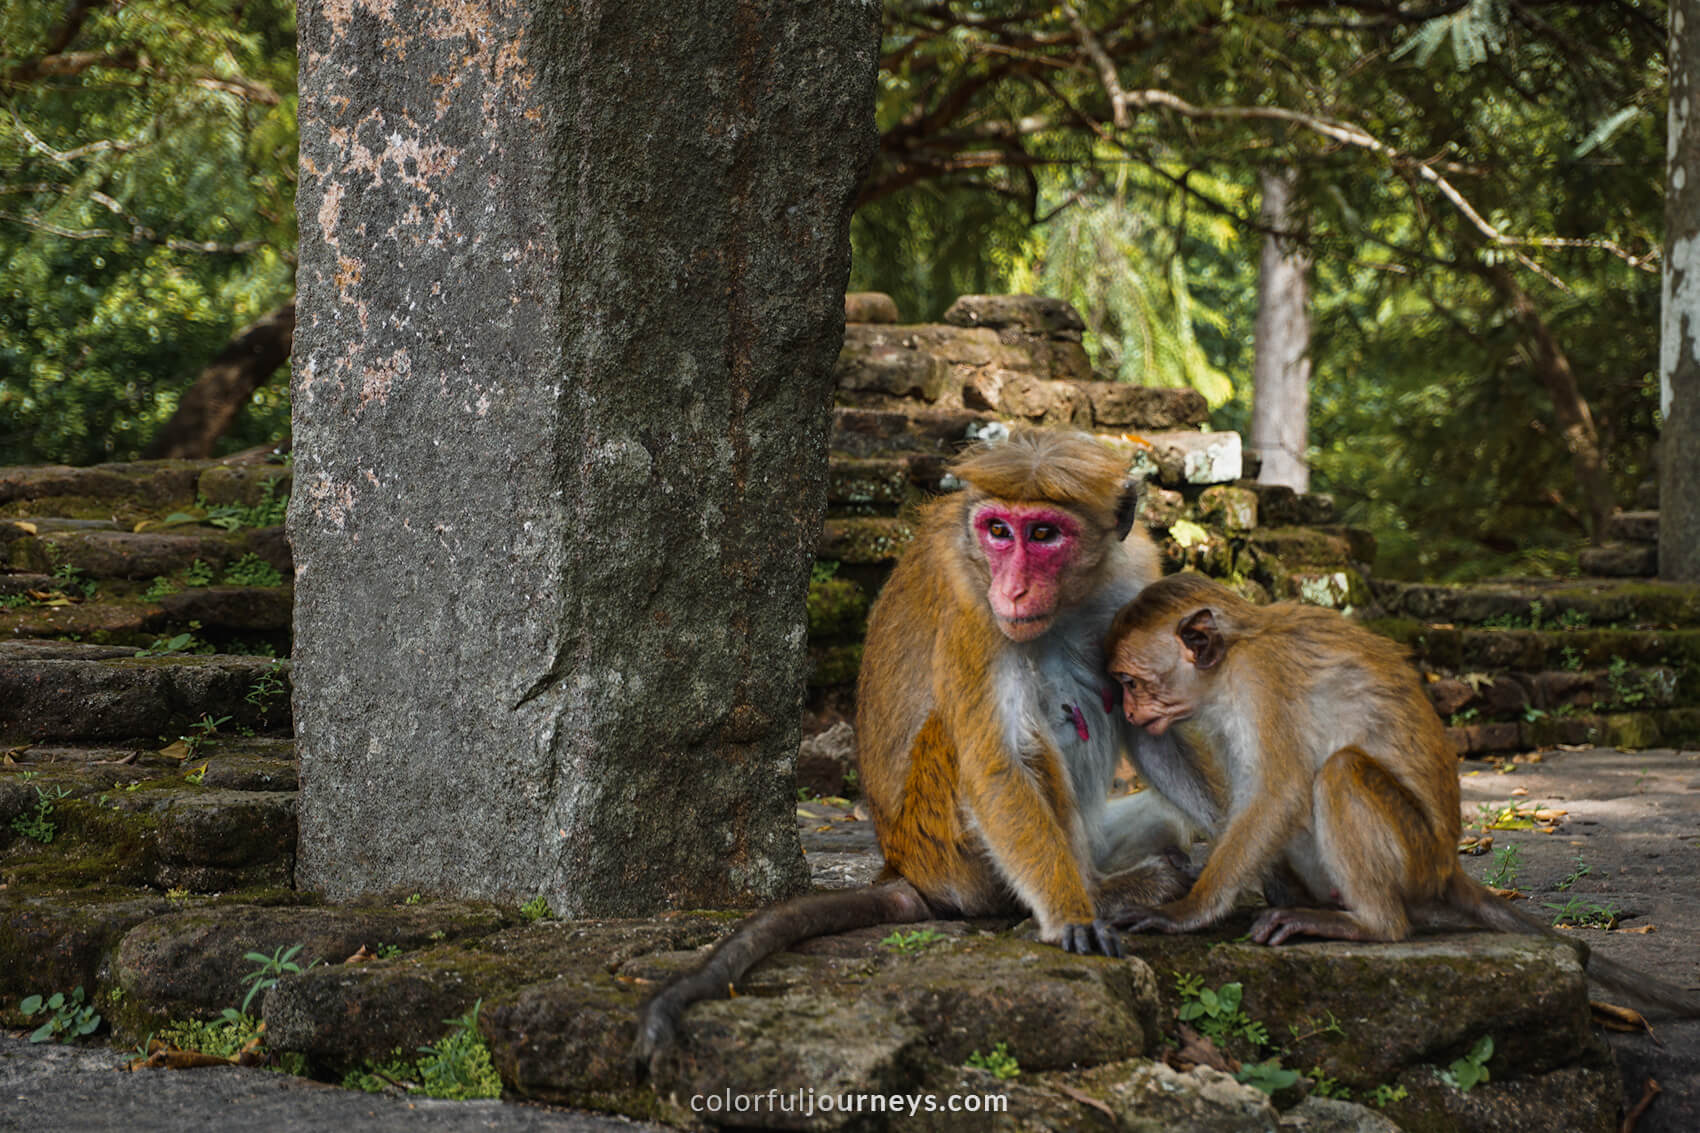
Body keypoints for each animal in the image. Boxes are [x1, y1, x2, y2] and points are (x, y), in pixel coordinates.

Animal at [631, 430, 1199, 1075]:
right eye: (998, 531)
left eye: (1043, 534)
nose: (1013, 589)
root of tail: (903, 866)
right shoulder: (973, 608)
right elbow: (995, 765)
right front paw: (1072, 916)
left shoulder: (1135, 572)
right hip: (948, 843)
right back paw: (1111, 890)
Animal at [1100, 571, 1700, 1016]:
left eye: (1129, 682)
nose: (1125, 712)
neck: (1231, 659)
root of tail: (1447, 866)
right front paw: (1262, 884)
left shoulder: (1264, 682)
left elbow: (1277, 793)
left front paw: (1187, 910)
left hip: (1413, 856)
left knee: (1340, 772)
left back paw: (1369, 925)